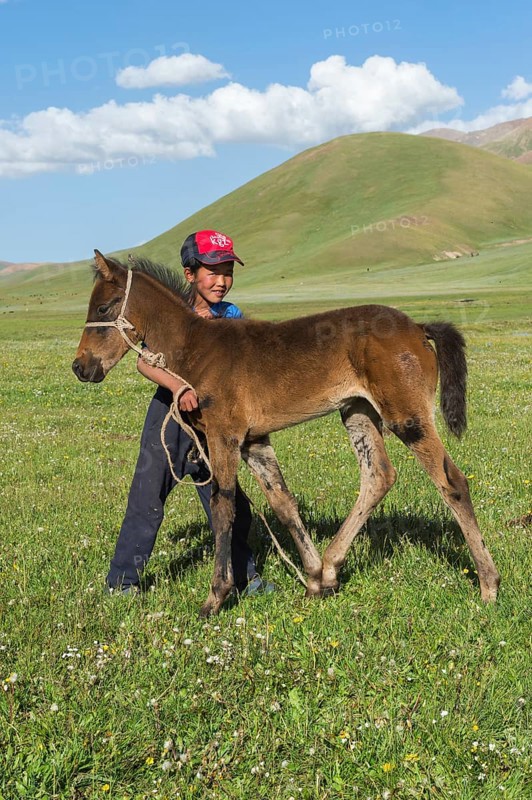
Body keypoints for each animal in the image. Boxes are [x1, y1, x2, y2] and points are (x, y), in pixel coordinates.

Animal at [72, 250, 500, 616]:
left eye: (104, 308)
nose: (80, 367)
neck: (197, 348)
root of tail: (417, 327)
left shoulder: (225, 436)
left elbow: (223, 507)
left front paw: (216, 596)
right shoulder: (253, 441)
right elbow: (282, 503)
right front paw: (314, 578)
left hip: (407, 416)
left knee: (452, 481)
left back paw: (488, 584)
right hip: (357, 411)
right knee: (378, 475)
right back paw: (331, 565)